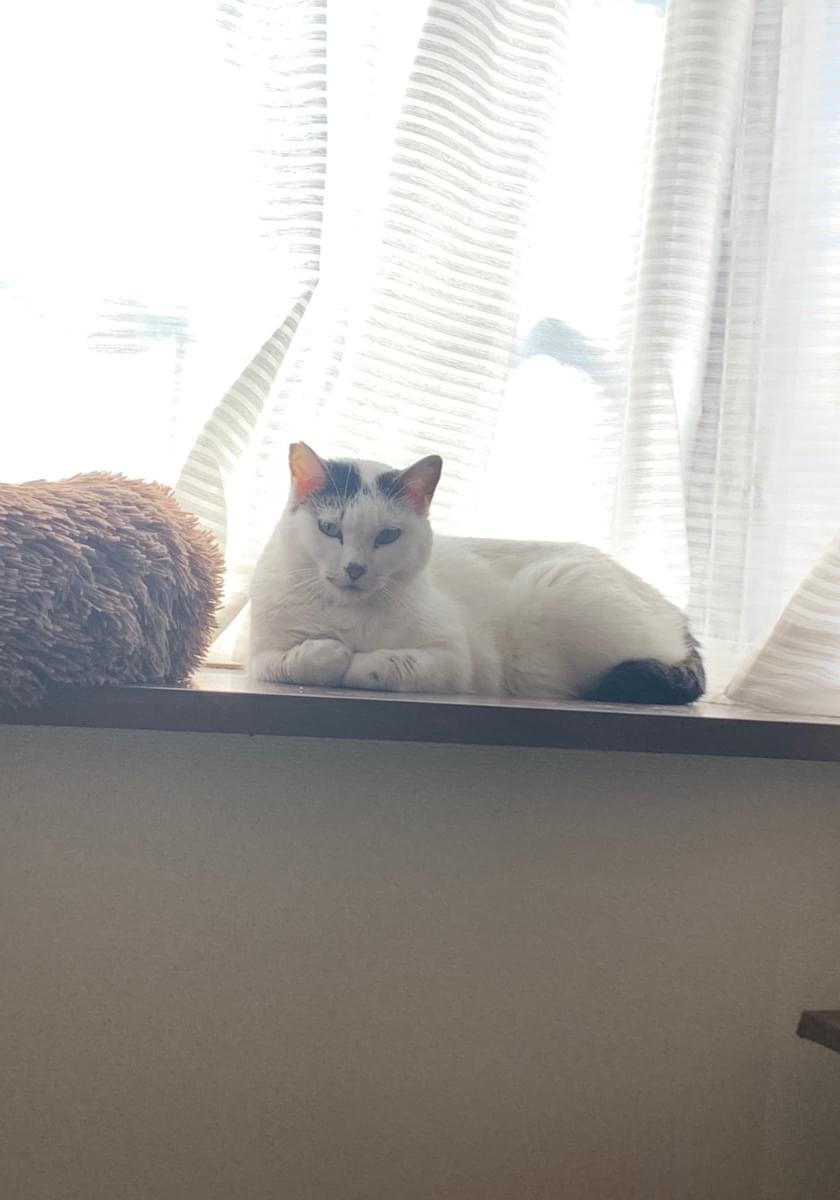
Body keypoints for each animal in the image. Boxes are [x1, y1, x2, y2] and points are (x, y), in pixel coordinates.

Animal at [248, 442, 705, 703]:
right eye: (330, 529)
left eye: (387, 536)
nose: (355, 568)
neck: (347, 617)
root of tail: (676, 612)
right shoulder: (259, 656)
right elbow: (299, 661)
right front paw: (325, 652)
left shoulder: (453, 659)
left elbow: (383, 664)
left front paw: (352, 660)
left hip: (557, 591)